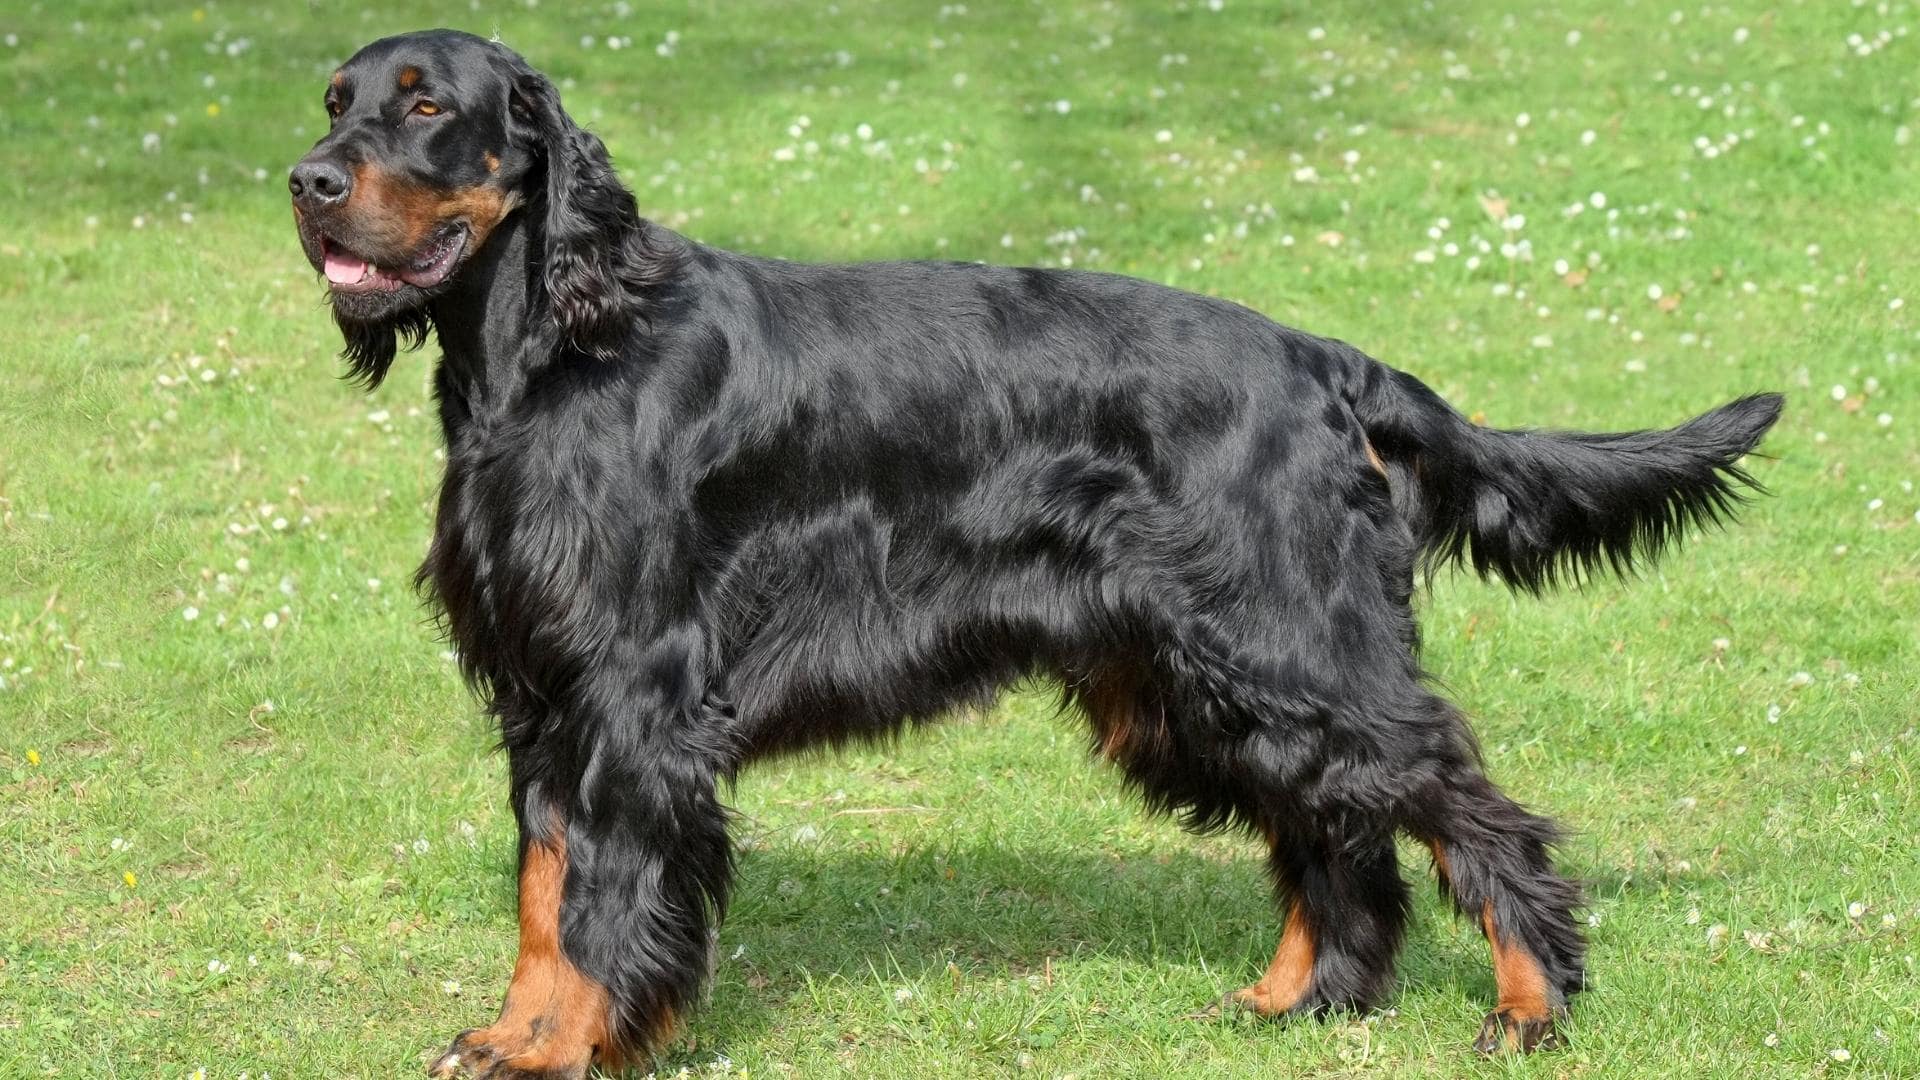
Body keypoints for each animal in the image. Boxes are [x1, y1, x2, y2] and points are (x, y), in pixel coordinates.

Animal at [288, 29, 1781, 1068]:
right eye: (334, 101)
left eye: (427, 105)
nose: (307, 183)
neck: (554, 349)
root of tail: (1326, 363)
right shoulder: (543, 696)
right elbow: (543, 897)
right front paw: (516, 1032)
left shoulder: (628, 699)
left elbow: (595, 901)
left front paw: (562, 1050)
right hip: (1197, 675)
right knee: (1335, 831)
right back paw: (1301, 1000)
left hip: (1288, 646)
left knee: (1466, 807)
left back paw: (1531, 1006)